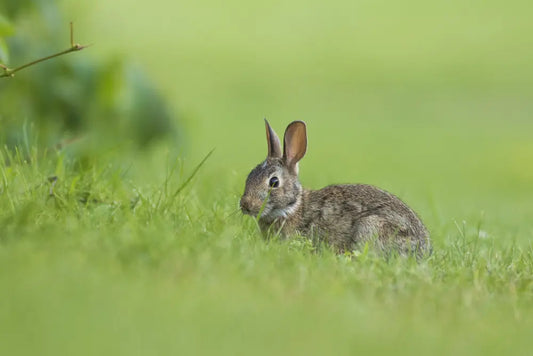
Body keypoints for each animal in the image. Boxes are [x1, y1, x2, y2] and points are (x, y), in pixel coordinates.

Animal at [241, 119, 432, 256]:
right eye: (250, 175)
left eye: (274, 182)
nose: (245, 205)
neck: (293, 207)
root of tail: (422, 251)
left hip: (371, 227)